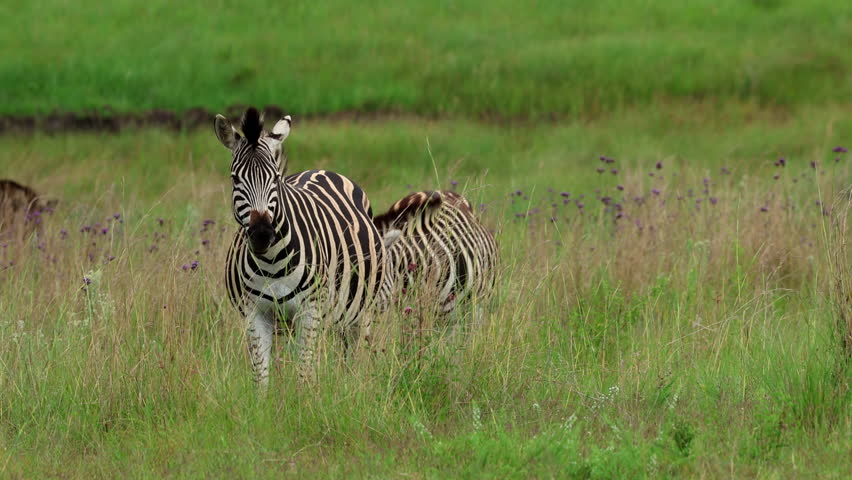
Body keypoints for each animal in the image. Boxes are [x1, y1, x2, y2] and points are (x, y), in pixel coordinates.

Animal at [214, 107, 386, 386]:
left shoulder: (311, 311)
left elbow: (304, 373)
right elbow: (261, 375)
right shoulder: (254, 313)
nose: (261, 235)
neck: (271, 263)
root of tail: (322, 170)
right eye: (235, 179)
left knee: (350, 352)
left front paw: (305, 399)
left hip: (358, 309)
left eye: (274, 179)